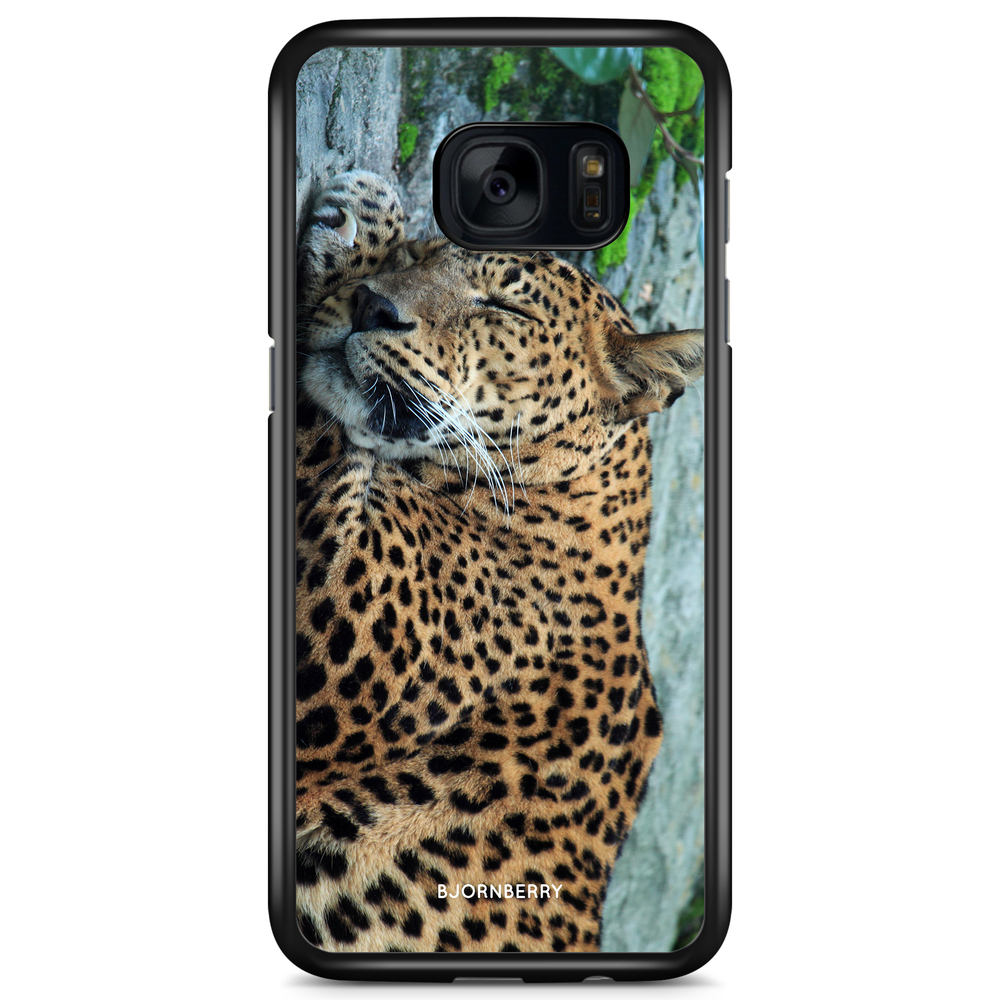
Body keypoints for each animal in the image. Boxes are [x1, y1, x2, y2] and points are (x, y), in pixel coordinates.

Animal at [293, 171, 704, 953]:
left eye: (503, 306)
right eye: (425, 255)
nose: (372, 305)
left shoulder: (346, 613)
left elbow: (319, 431)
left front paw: (359, 218)